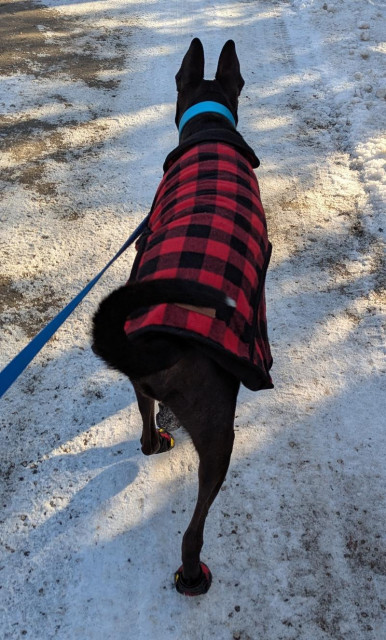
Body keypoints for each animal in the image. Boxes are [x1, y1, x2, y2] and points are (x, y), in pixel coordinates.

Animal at [92, 38, 272, 596]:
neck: (208, 128)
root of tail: (164, 346)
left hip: (141, 381)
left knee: (147, 425)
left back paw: (155, 440)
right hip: (218, 436)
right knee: (194, 527)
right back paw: (192, 574)